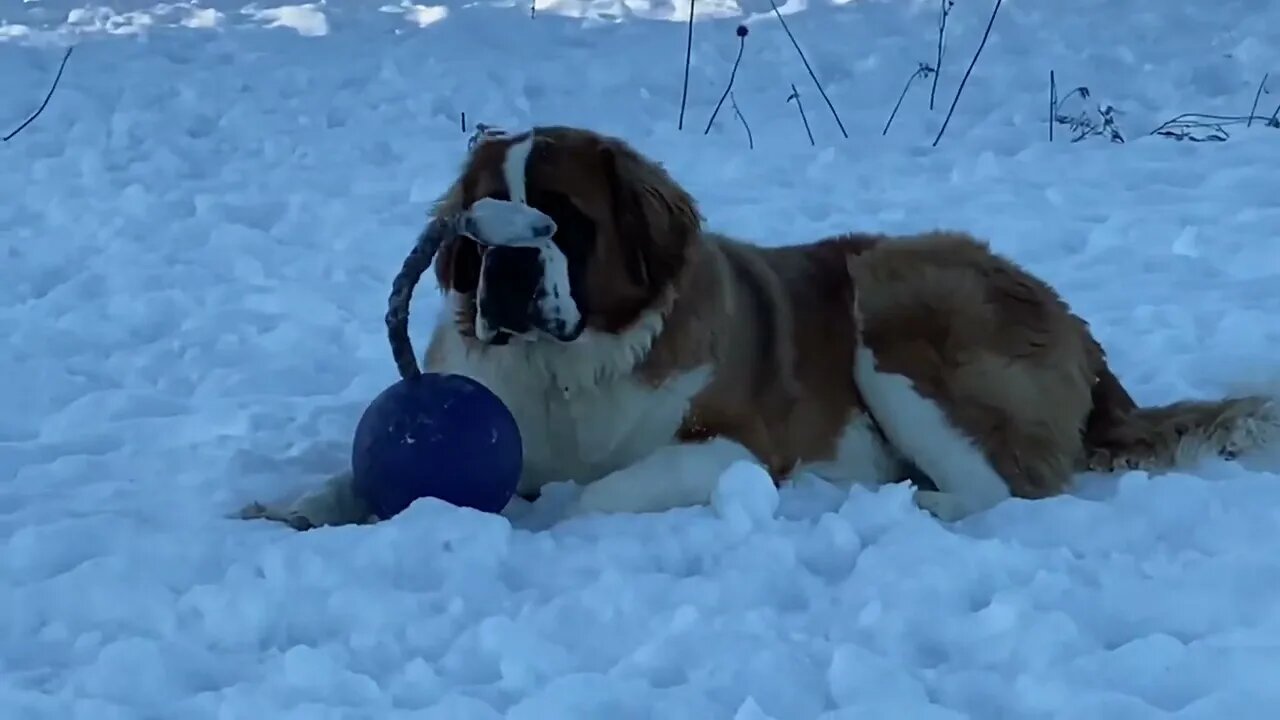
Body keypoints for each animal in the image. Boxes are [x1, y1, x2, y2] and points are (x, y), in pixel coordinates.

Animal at [238, 122, 1269, 527]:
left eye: (562, 221)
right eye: (477, 228)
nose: (509, 267)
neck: (572, 368)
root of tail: (1072, 322)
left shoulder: (730, 450)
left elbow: (598, 492)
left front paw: (545, 510)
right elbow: (349, 478)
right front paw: (290, 509)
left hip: (893, 300)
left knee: (1009, 491)